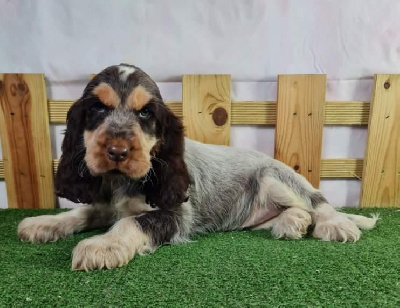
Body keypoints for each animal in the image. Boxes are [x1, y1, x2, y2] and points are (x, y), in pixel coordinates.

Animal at [16, 63, 378, 270]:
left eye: (146, 113)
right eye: (97, 109)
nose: (117, 151)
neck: (121, 181)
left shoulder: (176, 214)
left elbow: (131, 222)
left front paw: (101, 246)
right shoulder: (105, 203)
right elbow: (80, 212)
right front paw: (43, 223)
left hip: (274, 177)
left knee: (318, 201)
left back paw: (335, 225)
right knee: (292, 212)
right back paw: (292, 224)